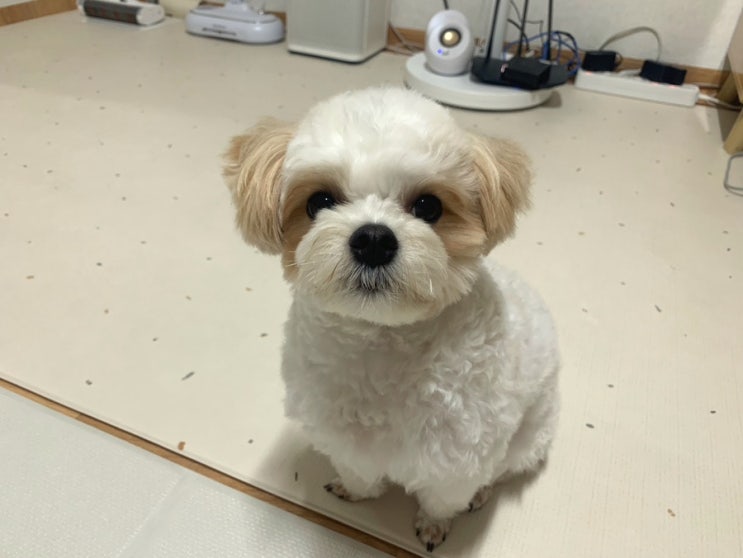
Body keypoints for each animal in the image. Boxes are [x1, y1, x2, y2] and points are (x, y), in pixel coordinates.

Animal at [222, 87, 559, 551]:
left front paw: (435, 525)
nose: (373, 238)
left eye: (429, 206)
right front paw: (356, 493)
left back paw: (484, 492)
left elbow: (442, 500)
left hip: (527, 438)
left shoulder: (457, 461)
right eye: (319, 201)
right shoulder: (343, 439)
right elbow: (359, 475)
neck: (380, 345)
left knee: (503, 467)